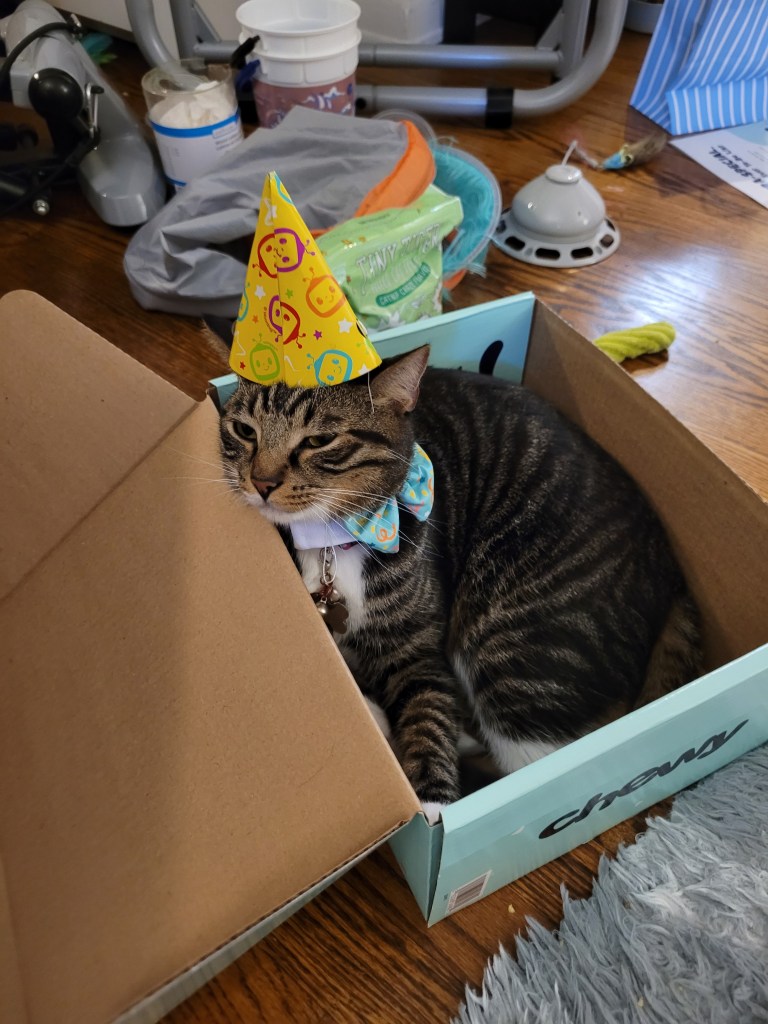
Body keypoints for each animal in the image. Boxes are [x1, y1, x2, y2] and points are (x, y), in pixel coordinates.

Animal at [219, 345, 702, 823]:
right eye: (244, 430)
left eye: (319, 441)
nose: (261, 482)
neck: (327, 544)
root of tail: (671, 573)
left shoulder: (420, 652)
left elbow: (429, 713)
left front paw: (431, 804)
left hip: (514, 649)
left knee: (523, 759)